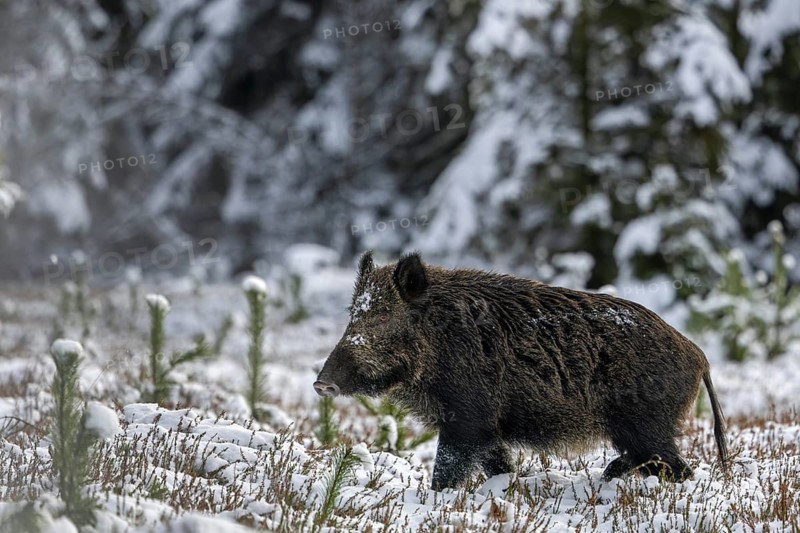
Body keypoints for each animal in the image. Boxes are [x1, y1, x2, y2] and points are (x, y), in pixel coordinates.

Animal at [314, 251, 728, 489]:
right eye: (353, 314)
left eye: (384, 315)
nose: (321, 383)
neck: (440, 339)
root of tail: (699, 355)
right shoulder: (487, 429)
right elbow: (498, 466)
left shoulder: (469, 418)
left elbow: (448, 468)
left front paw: (437, 498)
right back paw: (608, 476)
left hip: (647, 423)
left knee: (676, 467)